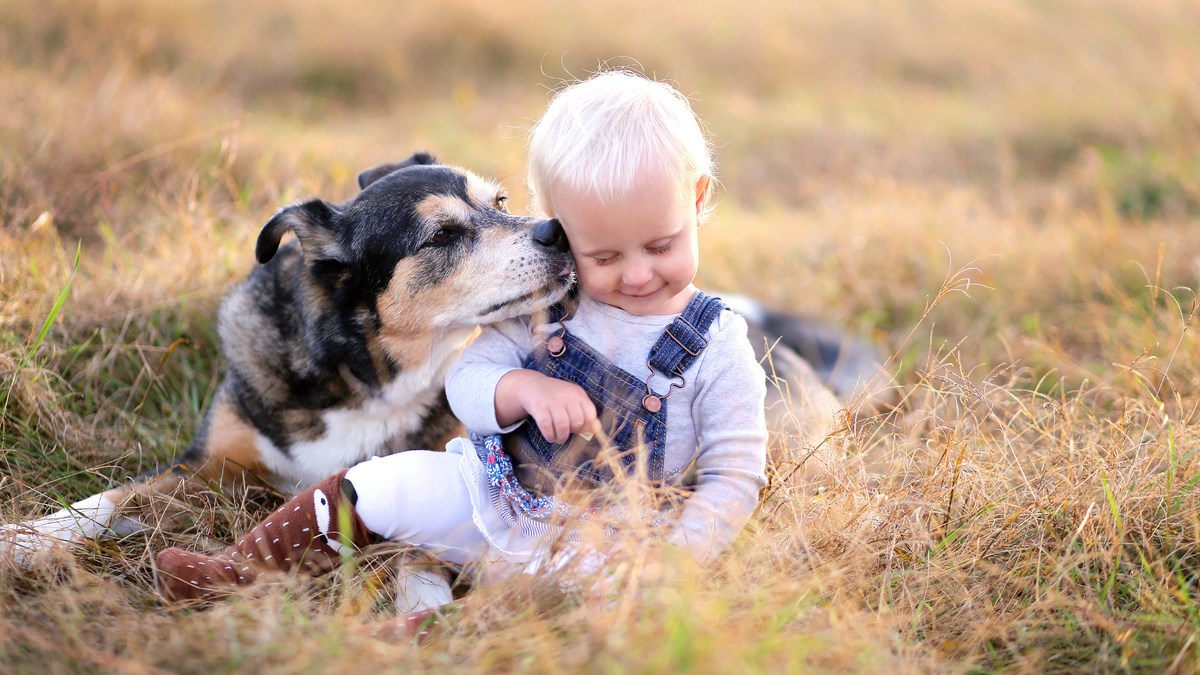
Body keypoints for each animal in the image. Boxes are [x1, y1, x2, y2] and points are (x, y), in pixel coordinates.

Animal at [0, 152, 892, 598]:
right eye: (441, 236)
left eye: (498, 200)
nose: (558, 228)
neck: (368, 372)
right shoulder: (210, 462)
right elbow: (108, 498)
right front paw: (25, 539)